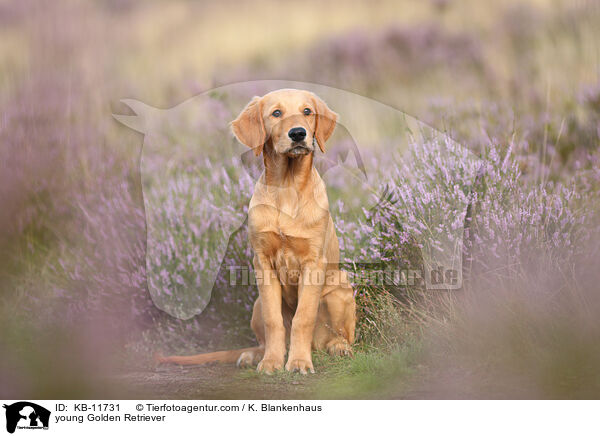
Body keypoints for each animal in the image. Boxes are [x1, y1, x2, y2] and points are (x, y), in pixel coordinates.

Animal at [158, 89, 356, 374]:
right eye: (276, 113)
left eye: (307, 111)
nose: (298, 133)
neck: (287, 187)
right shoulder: (263, 262)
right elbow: (275, 321)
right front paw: (272, 362)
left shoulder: (313, 263)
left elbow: (303, 317)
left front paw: (298, 362)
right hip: (257, 303)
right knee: (267, 335)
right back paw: (255, 355)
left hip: (340, 289)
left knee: (339, 336)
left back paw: (337, 348)